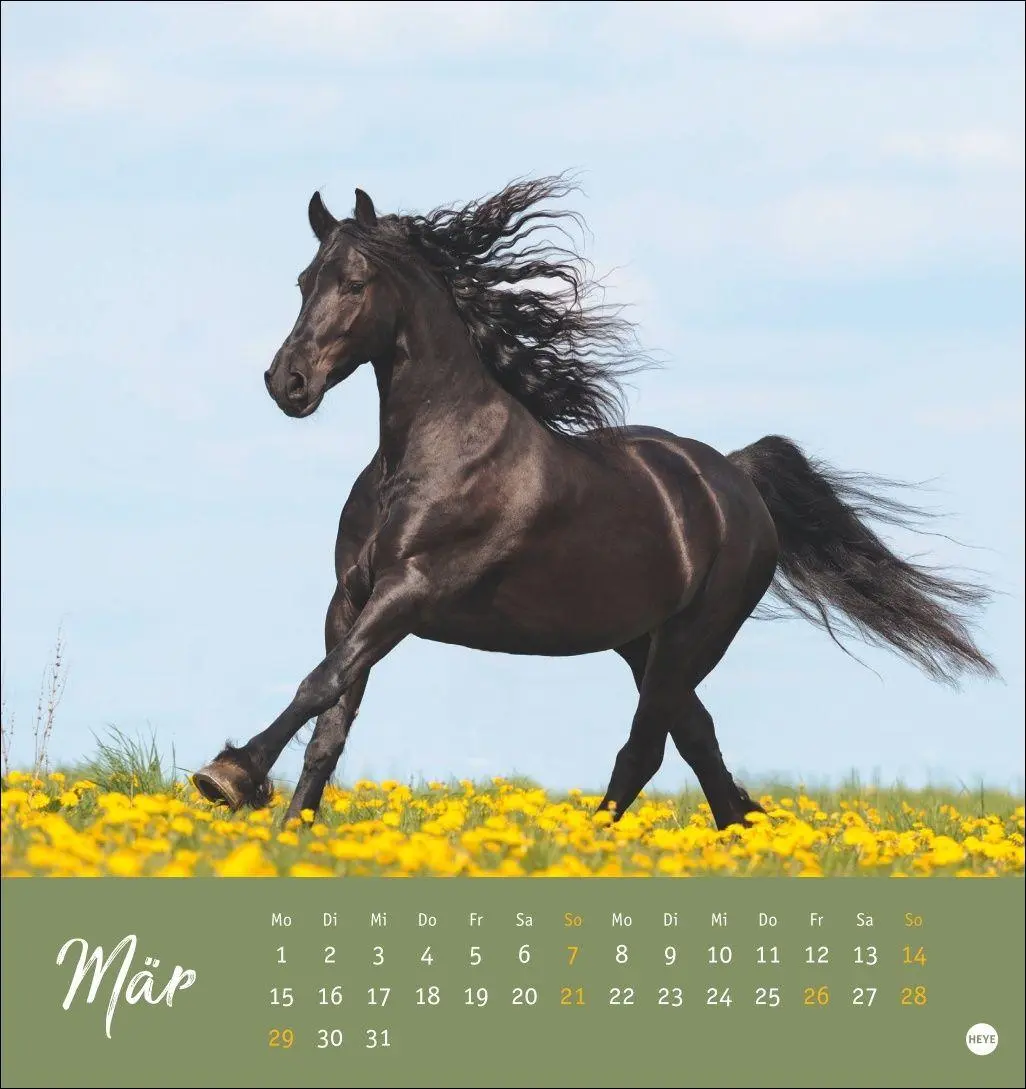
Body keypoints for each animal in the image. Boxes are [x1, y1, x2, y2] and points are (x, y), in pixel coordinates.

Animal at [192, 176, 995, 829]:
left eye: (355, 283)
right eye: (304, 279)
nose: (288, 382)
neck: (424, 455)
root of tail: (733, 477)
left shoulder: (411, 590)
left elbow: (320, 682)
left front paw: (227, 776)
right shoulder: (351, 596)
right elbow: (332, 718)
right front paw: (285, 832)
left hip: (691, 637)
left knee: (648, 749)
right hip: (643, 642)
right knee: (697, 745)